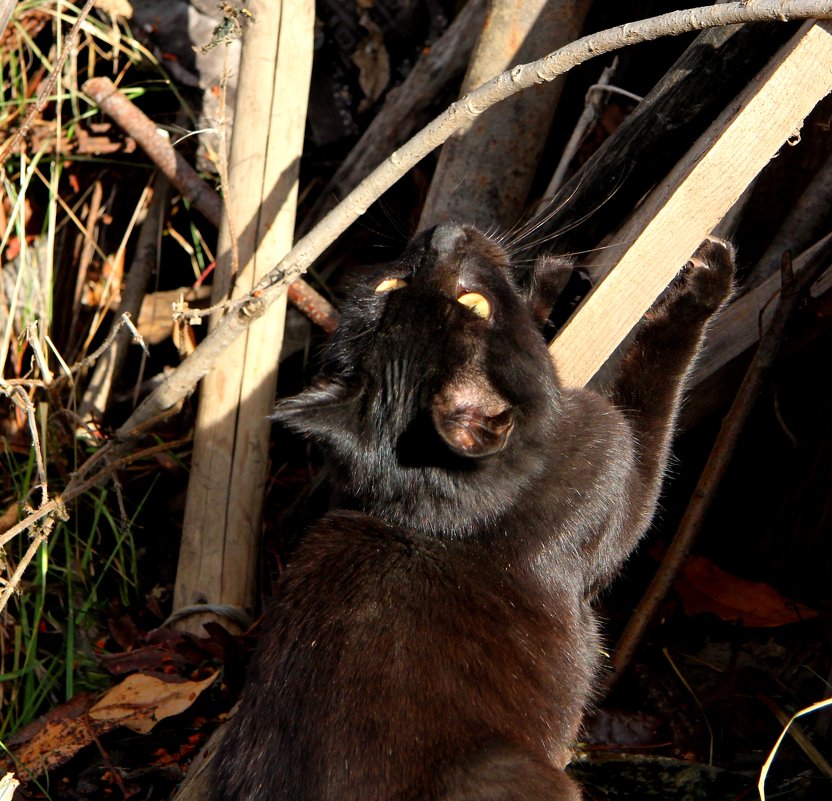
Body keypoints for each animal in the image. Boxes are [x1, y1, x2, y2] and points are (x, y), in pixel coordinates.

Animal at [214, 222, 736, 796]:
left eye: (389, 284)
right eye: (475, 306)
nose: (440, 233)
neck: (439, 508)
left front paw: (553, 283)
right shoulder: (615, 473)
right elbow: (654, 401)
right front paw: (703, 280)